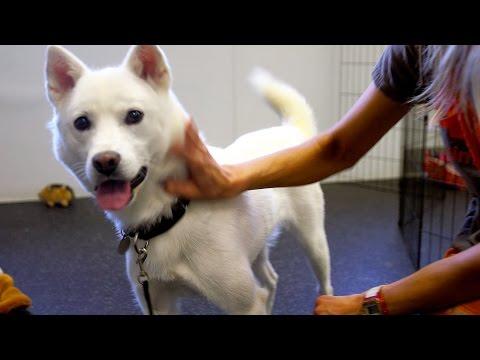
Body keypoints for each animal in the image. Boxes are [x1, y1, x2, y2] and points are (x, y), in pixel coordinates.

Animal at [44, 45, 330, 316]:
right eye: (82, 122)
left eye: (134, 116)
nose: (105, 161)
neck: (168, 214)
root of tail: (291, 130)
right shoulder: (157, 303)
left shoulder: (244, 305)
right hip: (257, 246)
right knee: (271, 280)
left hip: (314, 242)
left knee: (323, 283)